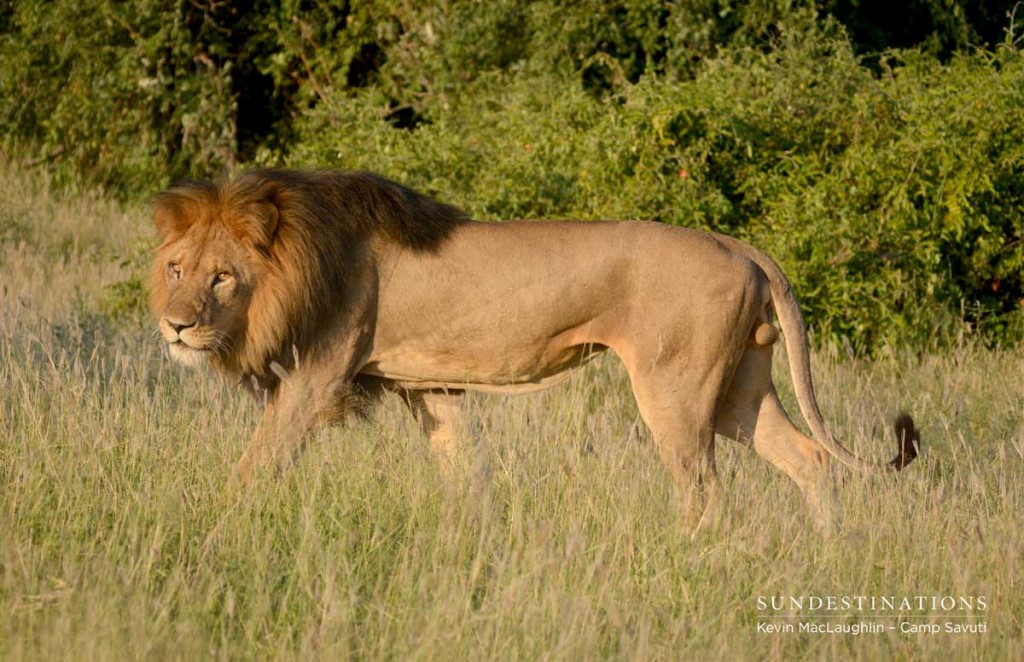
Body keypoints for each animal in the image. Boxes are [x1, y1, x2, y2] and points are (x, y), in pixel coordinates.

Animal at [149, 170, 921, 532]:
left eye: (222, 277)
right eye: (176, 268)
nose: (175, 327)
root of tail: (740, 244)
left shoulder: (318, 374)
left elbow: (256, 463)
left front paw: (216, 529)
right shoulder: (431, 387)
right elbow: (464, 469)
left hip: (676, 391)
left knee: (703, 490)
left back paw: (685, 558)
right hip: (739, 391)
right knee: (812, 459)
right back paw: (829, 556)